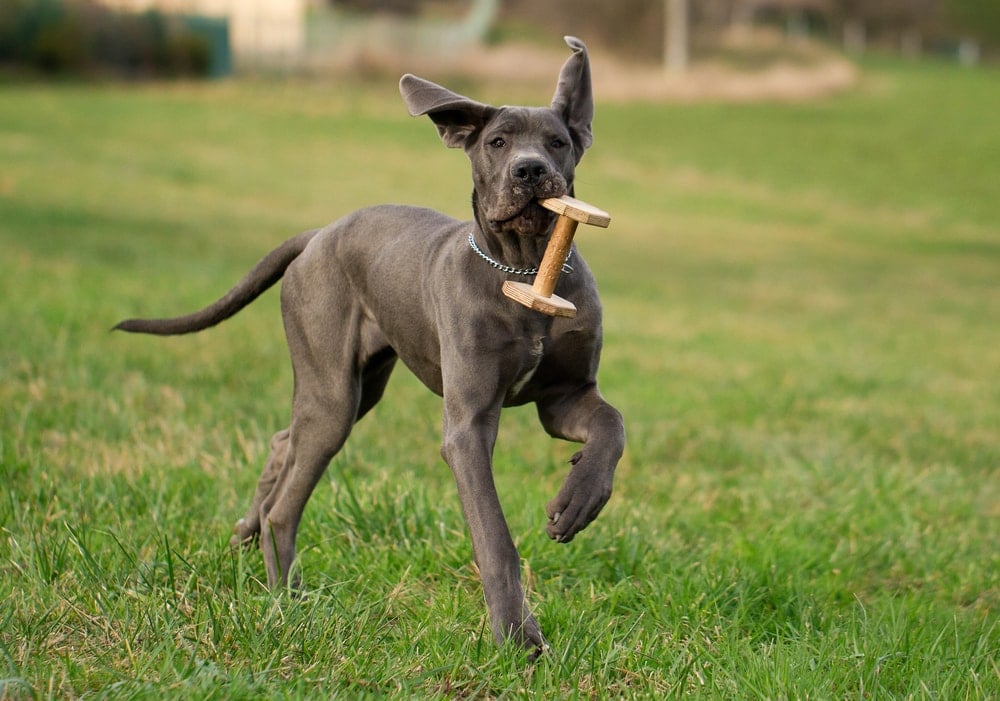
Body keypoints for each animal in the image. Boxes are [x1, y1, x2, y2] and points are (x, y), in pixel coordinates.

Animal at [117, 37, 624, 652]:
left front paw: (579, 499)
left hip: (359, 385)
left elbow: (612, 425)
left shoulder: (564, 397)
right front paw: (518, 639)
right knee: (288, 502)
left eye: (557, 142)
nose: (531, 171)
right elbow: (494, 536)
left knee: (284, 441)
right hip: (334, 390)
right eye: (498, 142)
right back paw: (287, 600)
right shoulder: (469, 425)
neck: (525, 272)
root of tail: (318, 234)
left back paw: (244, 536)